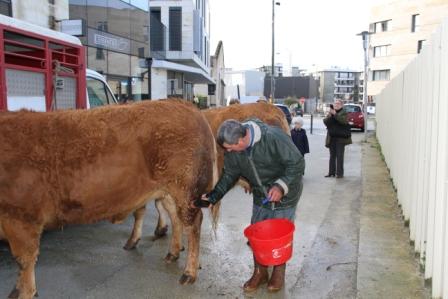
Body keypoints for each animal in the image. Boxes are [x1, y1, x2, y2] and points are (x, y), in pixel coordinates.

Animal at [0, 100, 219, 299]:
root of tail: (185, 105)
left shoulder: (21, 217)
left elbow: (24, 259)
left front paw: (23, 291)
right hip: (168, 192)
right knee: (175, 218)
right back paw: (172, 253)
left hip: (186, 191)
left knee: (193, 224)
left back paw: (189, 273)